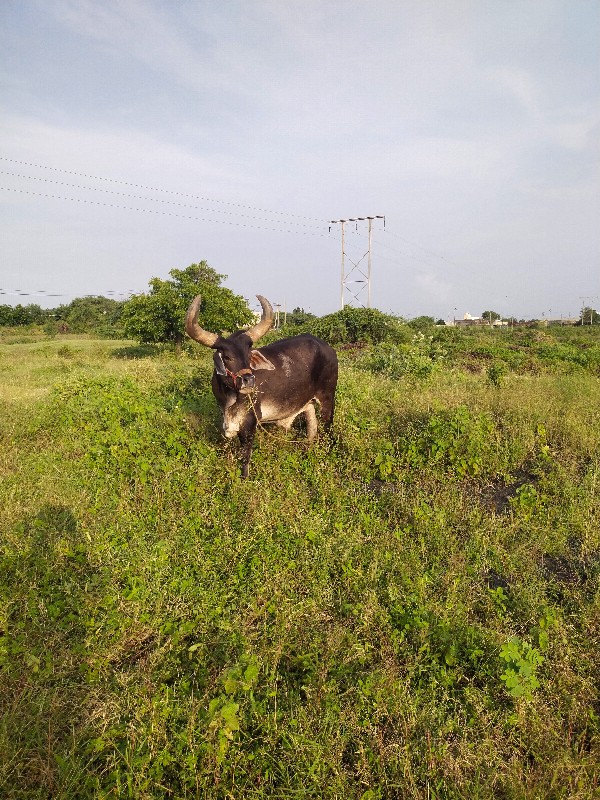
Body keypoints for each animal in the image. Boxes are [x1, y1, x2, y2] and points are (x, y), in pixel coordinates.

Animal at [185, 296, 338, 478]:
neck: (229, 397)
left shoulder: (250, 422)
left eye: (248, 356)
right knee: (312, 429)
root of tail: (328, 348)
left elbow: (245, 457)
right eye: (227, 357)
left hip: (327, 399)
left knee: (327, 427)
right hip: (308, 404)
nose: (248, 380)